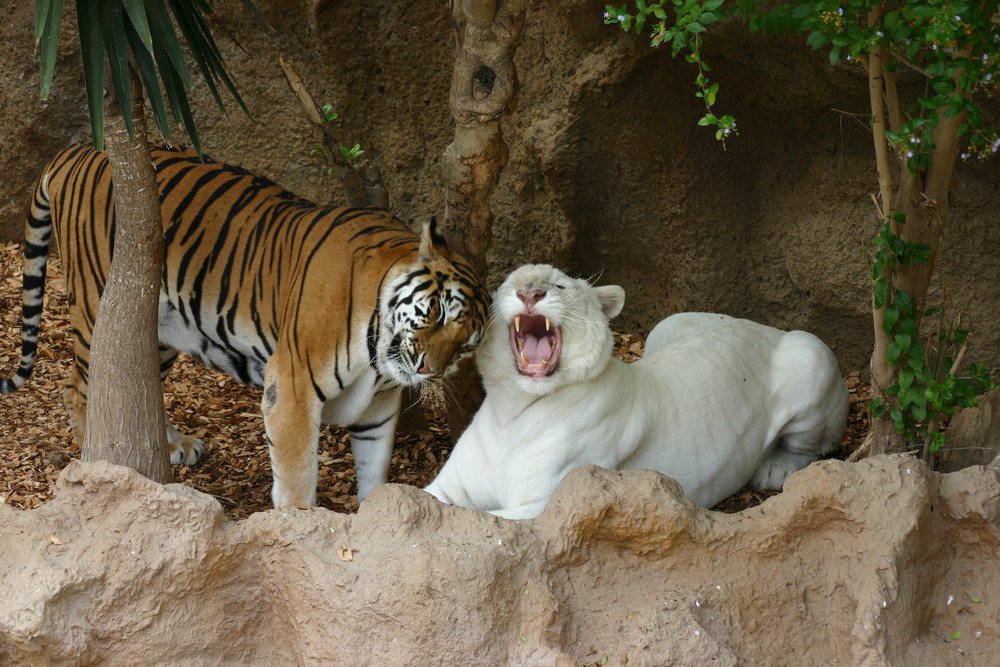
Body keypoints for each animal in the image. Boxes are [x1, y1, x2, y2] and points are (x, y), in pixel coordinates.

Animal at [2, 140, 488, 506]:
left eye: (467, 345)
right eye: (438, 311)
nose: (430, 370)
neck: (379, 357)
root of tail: (83, 147)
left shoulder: (377, 408)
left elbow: (375, 469)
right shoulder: (292, 386)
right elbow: (296, 476)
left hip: (155, 328)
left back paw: (173, 445)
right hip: (99, 306)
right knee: (81, 386)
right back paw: (100, 465)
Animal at [424, 264, 852, 520]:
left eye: (558, 284)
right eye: (506, 287)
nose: (529, 293)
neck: (513, 405)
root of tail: (766, 326)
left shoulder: (541, 505)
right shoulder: (447, 486)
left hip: (811, 355)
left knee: (816, 446)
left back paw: (774, 468)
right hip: (670, 323)